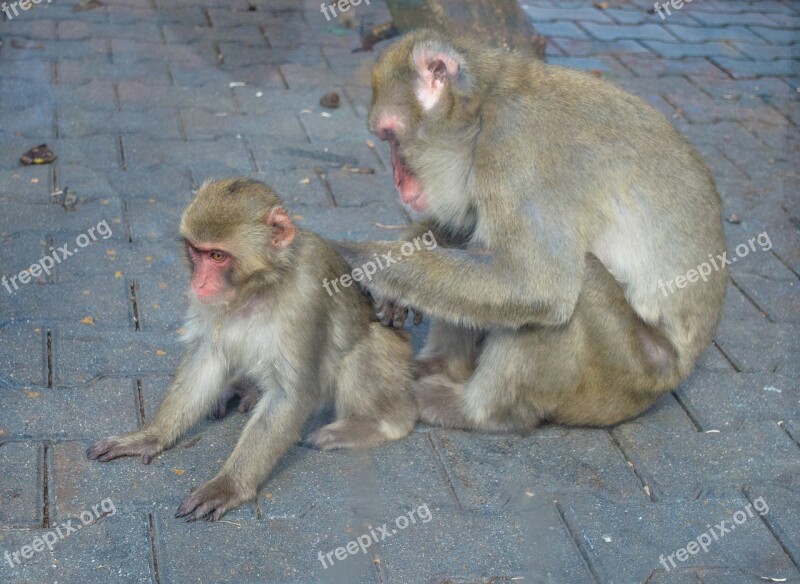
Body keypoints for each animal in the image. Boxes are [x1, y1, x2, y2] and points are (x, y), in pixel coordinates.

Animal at [86, 177, 418, 520]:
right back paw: (245, 388)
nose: (199, 283)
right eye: (197, 252)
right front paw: (151, 436)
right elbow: (206, 359)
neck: (261, 285)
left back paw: (379, 423)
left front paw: (229, 485)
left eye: (218, 256)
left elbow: (292, 393)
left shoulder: (305, 295)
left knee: (360, 352)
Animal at [334, 29, 728, 432]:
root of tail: (678, 371)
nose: (397, 182)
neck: (483, 109)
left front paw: (353, 260)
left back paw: (474, 410)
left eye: (391, 137)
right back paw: (444, 367)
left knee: (576, 283)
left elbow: (534, 285)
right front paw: (395, 272)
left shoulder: (517, 148)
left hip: (628, 373)